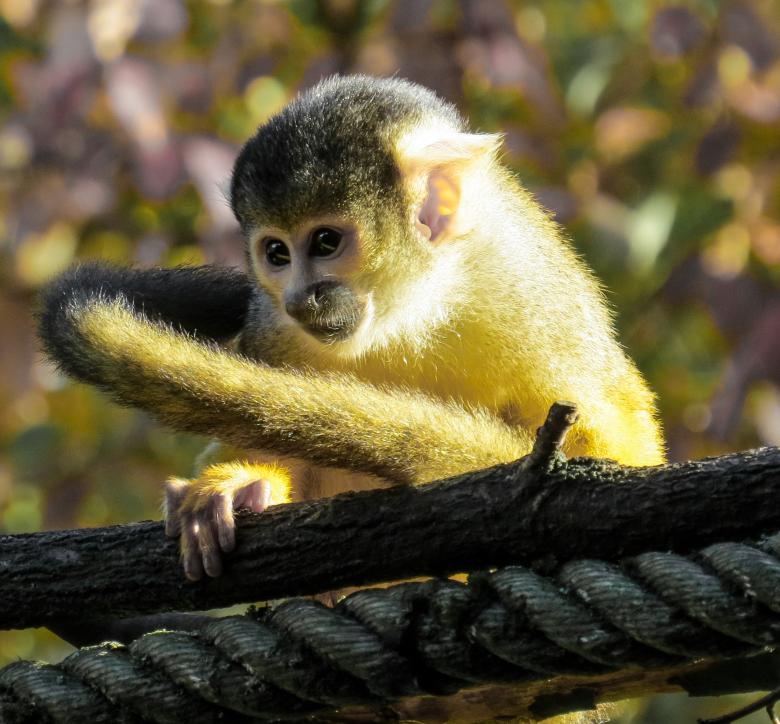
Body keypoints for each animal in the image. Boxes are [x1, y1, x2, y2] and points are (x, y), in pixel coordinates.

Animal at [39, 75, 665, 584]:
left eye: (325, 242)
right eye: (276, 253)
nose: (300, 298)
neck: (414, 305)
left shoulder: (531, 294)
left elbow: (615, 447)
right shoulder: (274, 325)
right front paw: (240, 483)